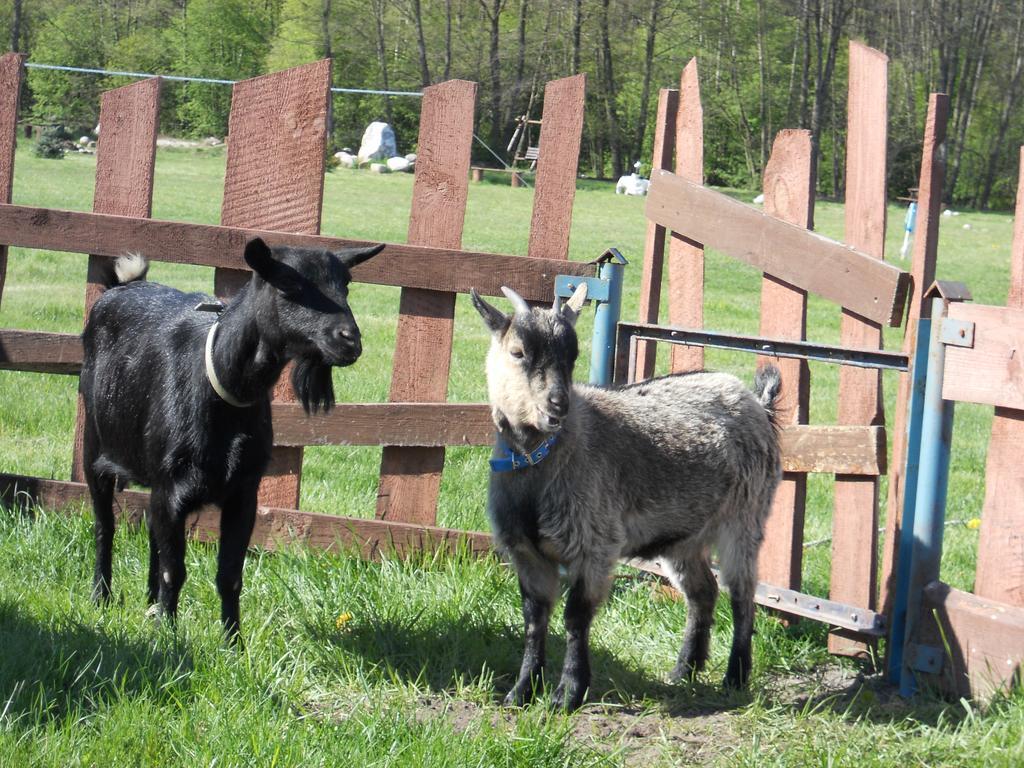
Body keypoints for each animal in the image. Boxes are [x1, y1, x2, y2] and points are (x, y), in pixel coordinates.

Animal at [80, 237, 385, 638]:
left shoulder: (243, 493)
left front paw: (232, 642)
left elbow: (229, 576)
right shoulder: (171, 486)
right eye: (288, 283)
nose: (350, 341)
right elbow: (174, 570)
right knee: (105, 526)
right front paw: (169, 637)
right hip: (93, 447)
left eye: (346, 285)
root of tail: (122, 286)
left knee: (150, 529)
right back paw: (101, 596)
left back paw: (149, 601)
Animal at [471, 282, 782, 708]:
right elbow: (534, 619)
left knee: (742, 596)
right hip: (684, 536)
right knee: (703, 591)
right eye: (518, 352)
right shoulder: (526, 552)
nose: (558, 405)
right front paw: (521, 691)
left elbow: (575, 617)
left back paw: (735, 677)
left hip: (745, 518)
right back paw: (684, 671)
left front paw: (568, 693)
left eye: (573, 354)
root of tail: (757, 403)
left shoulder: (594, 545)